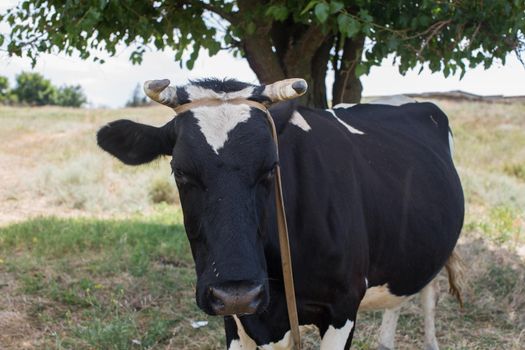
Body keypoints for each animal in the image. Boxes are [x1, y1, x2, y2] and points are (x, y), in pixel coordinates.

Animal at [97, 78, 462, 348]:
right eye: (180, 171)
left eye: (271, 167)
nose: (237, 292)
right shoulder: (240, 317)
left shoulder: (343, 304)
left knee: (428, 295)